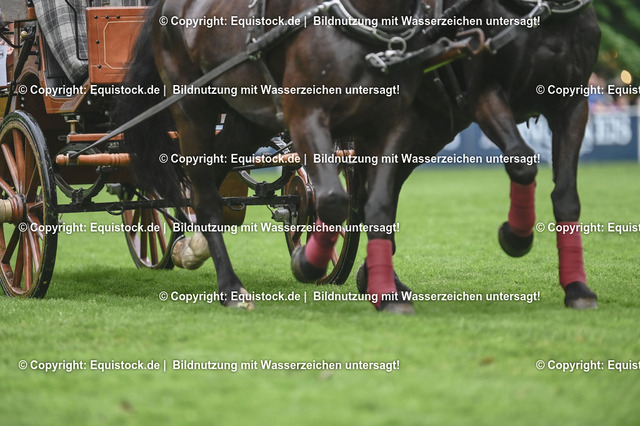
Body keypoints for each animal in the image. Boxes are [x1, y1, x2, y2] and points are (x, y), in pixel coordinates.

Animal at [114, 0, 429, 312]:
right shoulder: (305, 114)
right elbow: (334, 199)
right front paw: (306, 263)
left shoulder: (389, 123)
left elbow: (377, 205)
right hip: (191, 107)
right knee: (204, 196)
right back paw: (231, 289)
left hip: (245, 116)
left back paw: (192, 246)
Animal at [356, 0, 601, 309]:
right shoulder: (486, 93)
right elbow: (522, 161)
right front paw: (515, 236)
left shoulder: (573, 105)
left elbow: (566, 195)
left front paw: (577, 288)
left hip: (428, 129)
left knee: (384, 189)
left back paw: (379, 278)